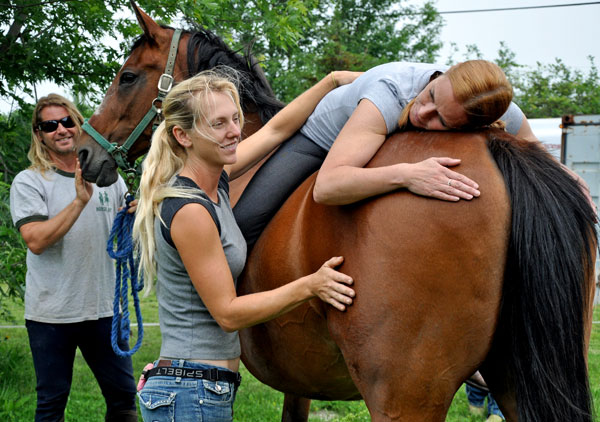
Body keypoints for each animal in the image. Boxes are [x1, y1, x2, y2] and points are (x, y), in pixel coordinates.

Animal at [77, 4, 596, 422]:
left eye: (127, 76)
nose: (85, 152)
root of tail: (494, 145)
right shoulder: (301, 379)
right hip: (515, 381)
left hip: (406, 398)